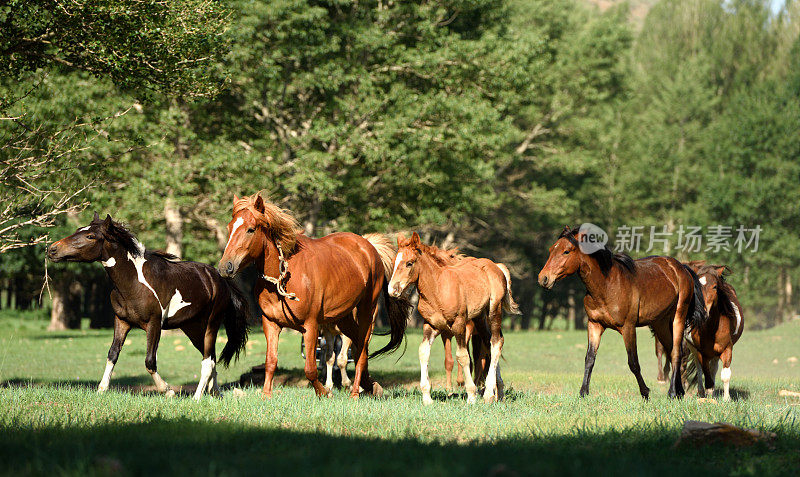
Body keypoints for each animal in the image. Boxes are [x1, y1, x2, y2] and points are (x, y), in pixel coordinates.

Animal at [48, 213, 248, 398]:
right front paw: (101, 389)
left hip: (211, 324)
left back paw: (197, 397)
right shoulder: (121, 321)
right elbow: (113, 354)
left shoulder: (154, 324)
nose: (52, 249)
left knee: (208, 361)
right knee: (211, 357)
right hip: (192, 328)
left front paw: (167, 390)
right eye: (77, 230)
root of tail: (219, 278)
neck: (134, 282)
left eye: (90, 236)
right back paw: (215, 393)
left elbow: (150, 361)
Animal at [216, 193, 410, 398]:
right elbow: (271, 361)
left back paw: (356, 392)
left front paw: (325, 392)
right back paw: (370, 385)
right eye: (230, 227)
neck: (283, 277)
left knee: (362, 350)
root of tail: (369, 247)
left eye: (250, 229)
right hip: (343, 318)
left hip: (366, 311)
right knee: (358, 349)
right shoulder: (271, 323)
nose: (225, 267)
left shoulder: (310, 325)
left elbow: (310, 368)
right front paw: (266, 395)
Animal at [388, 232, 520, 404]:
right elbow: (423, 352)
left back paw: (489, 394)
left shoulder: (459, 325)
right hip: (479, 318)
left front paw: (471, 395)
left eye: (409, 263)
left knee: (497, 342)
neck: (437, 289)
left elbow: (462, 356)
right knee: (489, 342)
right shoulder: (430, 326)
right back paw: (500, 392)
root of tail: (496, 266)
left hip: (494, 311)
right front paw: (427, 397)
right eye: (394, 262)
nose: (392, 290)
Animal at [536, 227, 708, 398]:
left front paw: (645, 392)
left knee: (676, 353)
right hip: (661, 323)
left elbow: (633, 362)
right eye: (551, 249)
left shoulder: (628, 328)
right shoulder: (594, 325)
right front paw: (583, 392)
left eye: (566, 251)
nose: (543, 278)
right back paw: (679, 391)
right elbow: (589, 358)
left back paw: (672, 393)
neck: (607, 285)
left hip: (678, 318)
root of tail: (681, 268)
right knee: (671, 351)